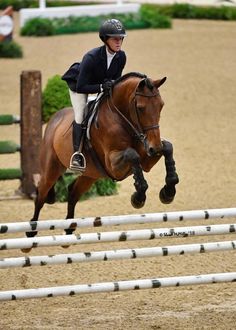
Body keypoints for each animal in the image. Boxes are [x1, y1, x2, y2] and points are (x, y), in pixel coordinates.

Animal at [26, 71, 178, 237]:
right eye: (140, 108)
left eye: (161, 105)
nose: (154, 148)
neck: (122, 119)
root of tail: (54, 119)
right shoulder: (113, 165)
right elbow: (132, 155)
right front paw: (138, 197)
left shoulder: (146, 158)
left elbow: (168, 147)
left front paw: (168, 192)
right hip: (51, 170)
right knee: (41, 195)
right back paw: (31, 230)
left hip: (90, 175)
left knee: (73, 192)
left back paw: (69, 228)